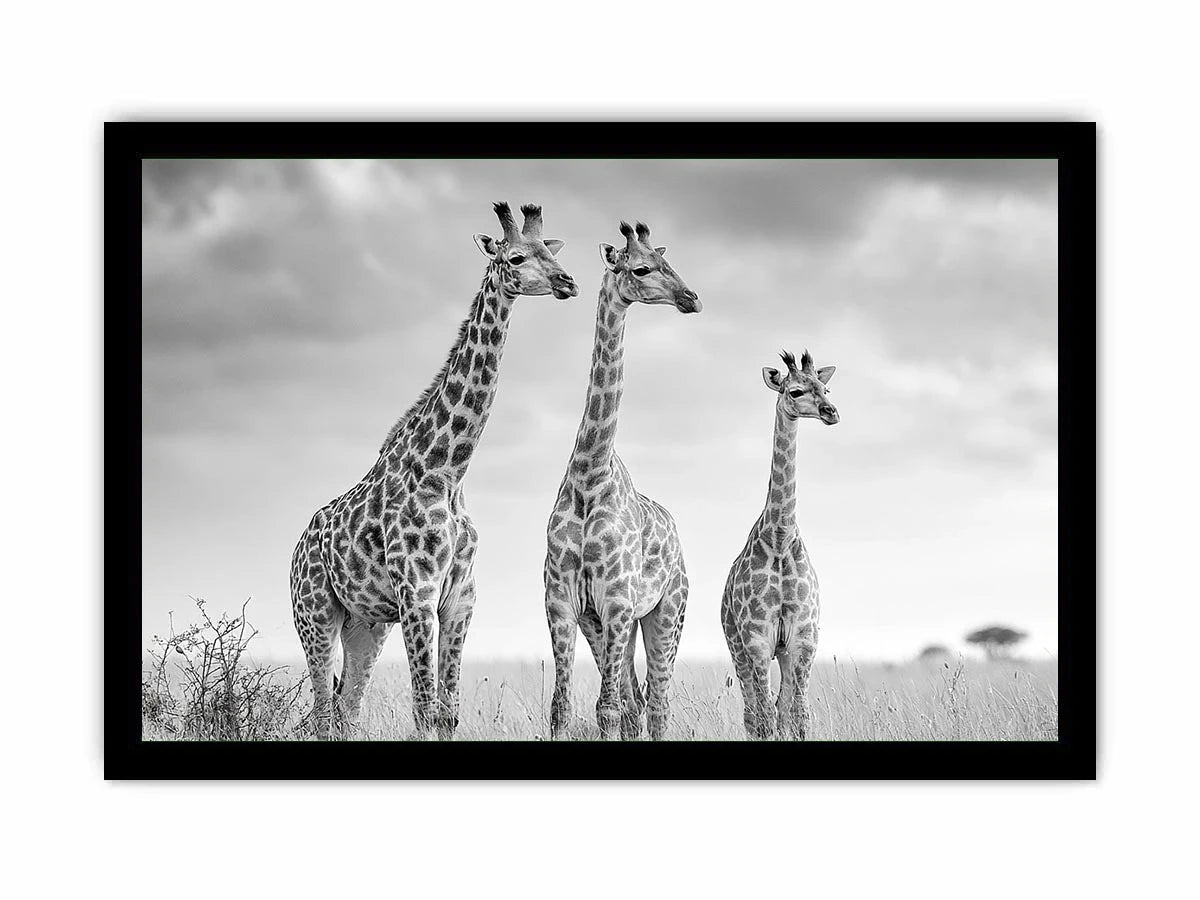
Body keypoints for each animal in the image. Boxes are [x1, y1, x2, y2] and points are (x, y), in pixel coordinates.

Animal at [290, 202, 578, 740]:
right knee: (320, 712)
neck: (447, 471)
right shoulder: (417, 597)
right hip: (315, 615)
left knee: (346, 709)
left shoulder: (459, 599)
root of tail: (296, 551)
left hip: (365, 625)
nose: (567, 281)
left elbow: (448, 711)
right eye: (514, 257)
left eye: (550, 251)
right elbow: (425, 708)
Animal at [544, 220, 701, 741]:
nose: (691, 298)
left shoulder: (615, 602)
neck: (589, 476)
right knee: (637, 702)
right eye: (642, 268)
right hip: (613, 625)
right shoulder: (565, 603)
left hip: (666, 613)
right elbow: (563, 708)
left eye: (667, 261)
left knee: (657, 704)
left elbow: (607, 709)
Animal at [721, 349, 839, 740]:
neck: (781, 538)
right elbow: (766, 718)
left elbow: (797, 715)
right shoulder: (757, 639)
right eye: (795, 392)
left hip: (782, 652)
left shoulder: (803, 638)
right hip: (737, 646)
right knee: (753, 714)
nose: (831, 412)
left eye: (825, 388)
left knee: (779, 707)